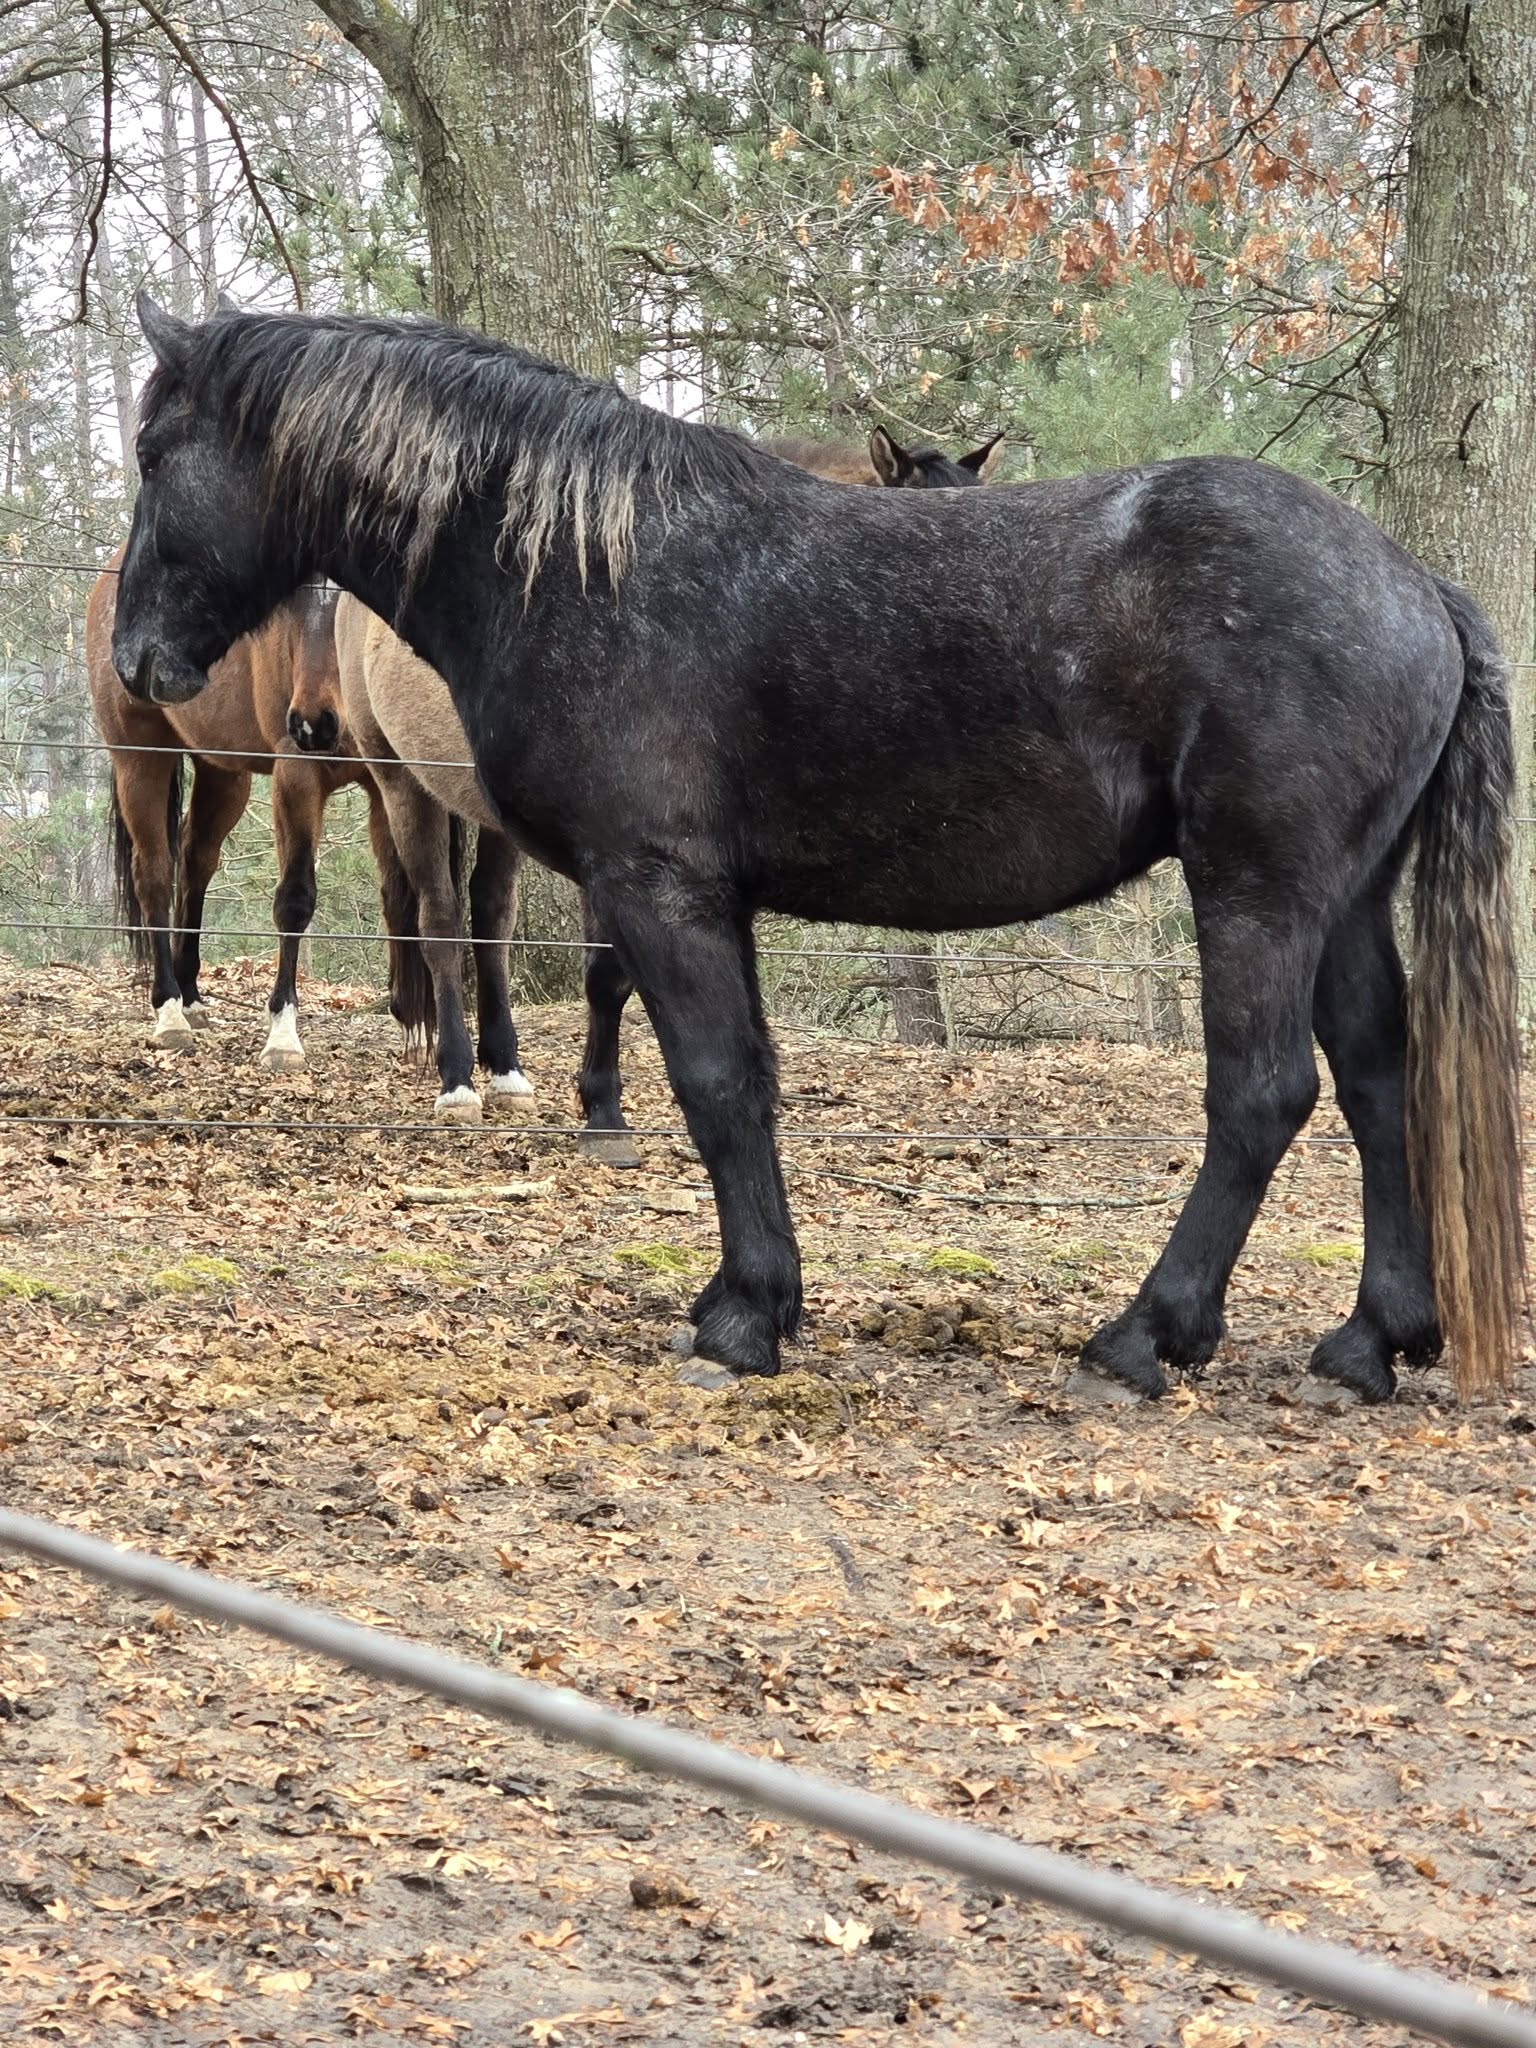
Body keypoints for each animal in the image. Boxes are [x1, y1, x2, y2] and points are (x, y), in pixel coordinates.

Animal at [86, 560, 426, 1070]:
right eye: (289, 598)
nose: (314, 723)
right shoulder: (297, 778)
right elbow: (295, 900)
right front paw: (283, 1034)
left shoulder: (388, 783)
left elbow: (399, 896)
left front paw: (416, 1026)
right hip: (139, 758)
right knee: (153, 873)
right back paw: (169, 1012)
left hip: (222, 770)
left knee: (195, 860)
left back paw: (191, 996)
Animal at [336, 430, 1003, 1139]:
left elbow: (611, 973)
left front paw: (603, 1105)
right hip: (402, 783)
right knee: (439, 921)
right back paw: (458, 1077)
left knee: (491, 921)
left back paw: (506, 1070)